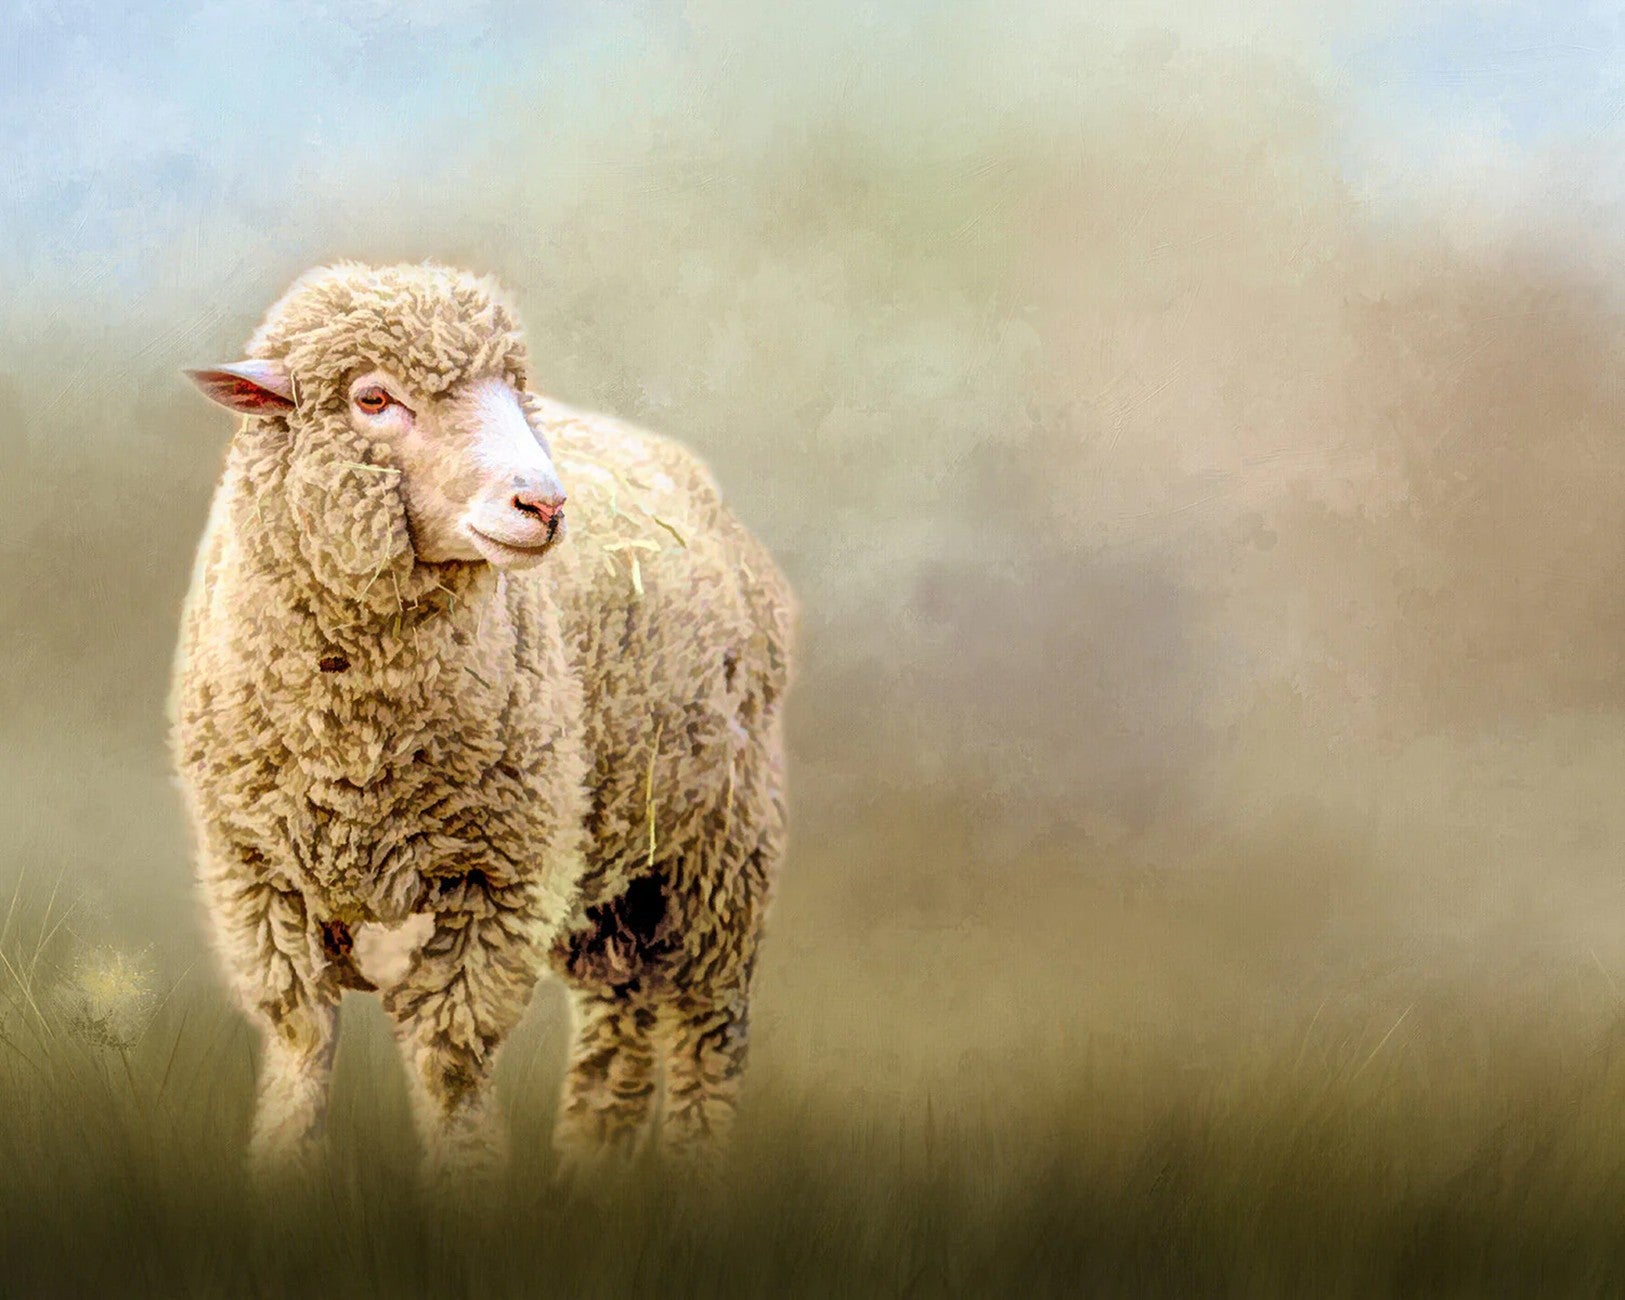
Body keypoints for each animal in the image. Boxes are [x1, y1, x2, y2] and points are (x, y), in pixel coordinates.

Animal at [171, 261, 793, 1184]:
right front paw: (282, 1173)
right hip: (606, 868)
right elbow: (300, 1040)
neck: (357, 750)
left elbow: (448, 1058)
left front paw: (465, 1187)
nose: (543, 504)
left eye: (512, 392)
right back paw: (591, 1175)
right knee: (619, 1020)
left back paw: (692, 1175)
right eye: (372, 397)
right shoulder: (256, 874)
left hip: (719, 847)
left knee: (706, 1027)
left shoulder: (500, 877)